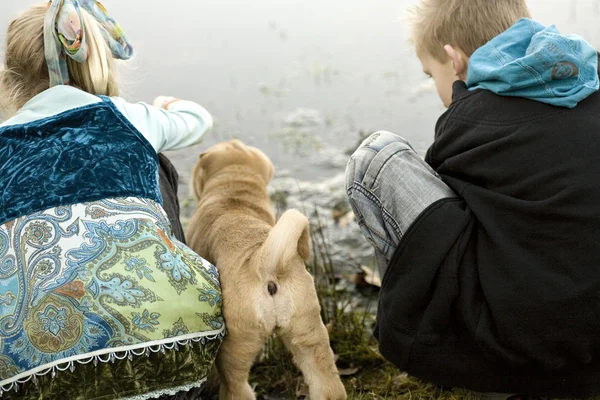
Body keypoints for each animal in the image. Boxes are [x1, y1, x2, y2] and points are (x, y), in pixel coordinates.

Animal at [188, 140, 346, 400]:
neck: (234, 190)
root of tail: (265, 263)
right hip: (309, 335)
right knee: (327, 385)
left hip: (235, 347)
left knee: (236, 386)